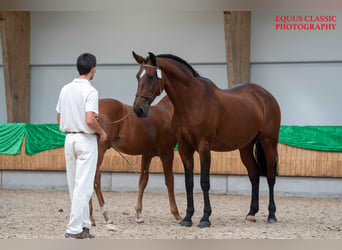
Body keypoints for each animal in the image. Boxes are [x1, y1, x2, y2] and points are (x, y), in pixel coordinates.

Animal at [89, 94, 183, 226]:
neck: (167, 113)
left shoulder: (147, 155)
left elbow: (143, 181)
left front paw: (139, 215)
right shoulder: (167, 153)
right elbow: (169, 181)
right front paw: (177, 214)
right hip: (100, 150)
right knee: (95, 178)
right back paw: (104, 216)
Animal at [131, 51, 280, 228]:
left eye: (151, 76)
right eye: (138, 76)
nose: (138, 109)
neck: (192, 101)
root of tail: (266, 95)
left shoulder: (204, 147)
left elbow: (204, 181)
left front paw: (205, 218)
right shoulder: (184, 148)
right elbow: (189, 182)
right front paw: (187, 217)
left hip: (268, 142)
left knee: (270, 177)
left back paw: (272, 215)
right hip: (245, 147)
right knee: (254, 174)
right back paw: (251, 213)